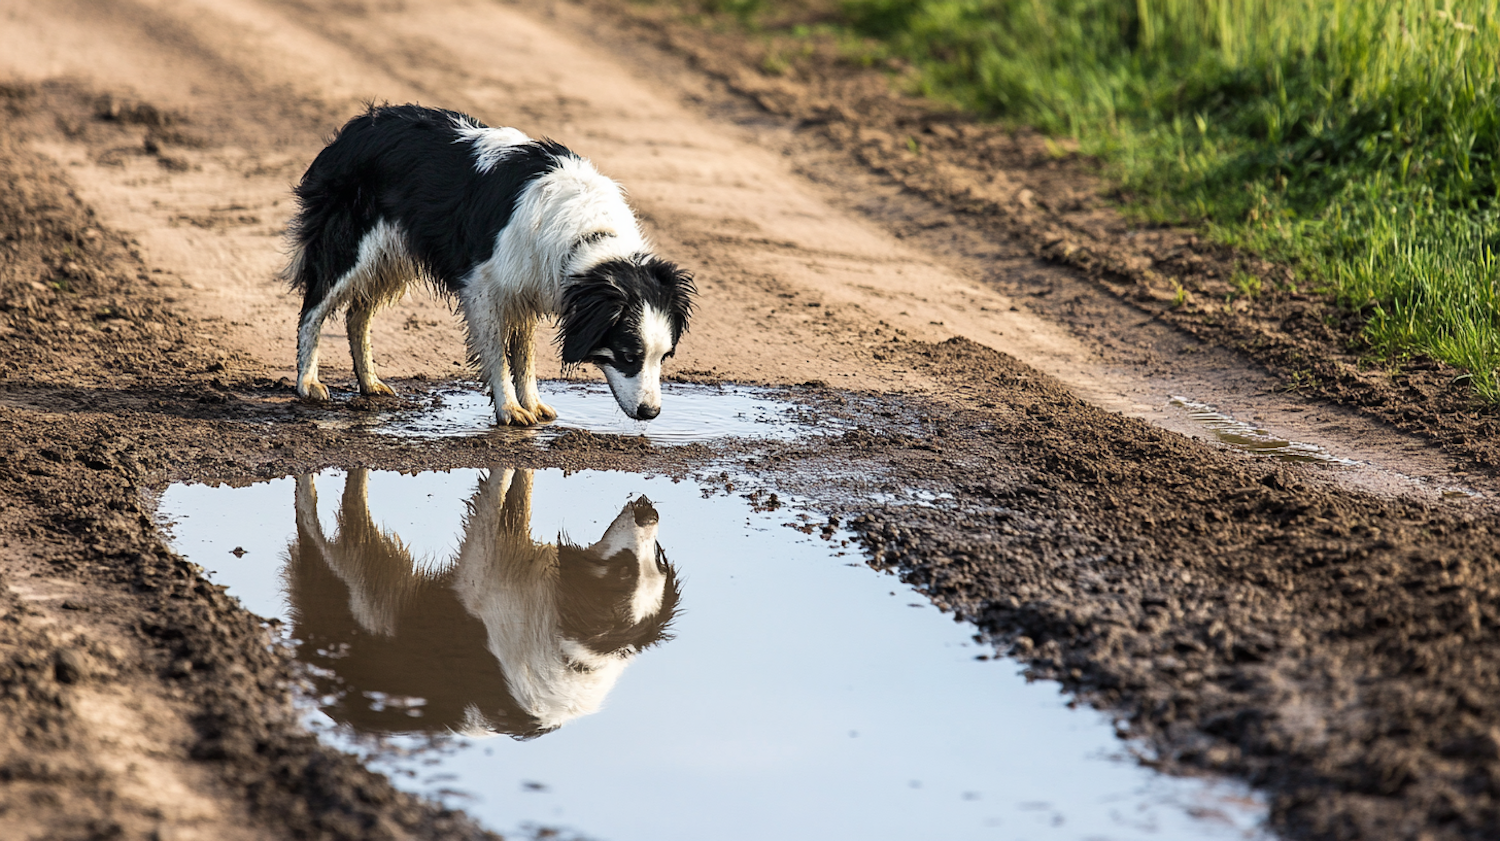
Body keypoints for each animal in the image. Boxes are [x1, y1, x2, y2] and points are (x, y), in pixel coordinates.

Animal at [282, 103, 696, 425]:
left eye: (665, 357)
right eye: (628, 356)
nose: (650, 413)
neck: (590, 237)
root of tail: (355, 127)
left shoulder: (527, 286)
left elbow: (524, 357)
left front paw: (532, 404)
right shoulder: (485, 287)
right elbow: (498, 354)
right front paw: (509, 410)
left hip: (391, 257)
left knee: (358, 314)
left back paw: (369, 382)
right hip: (352, 247)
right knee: (312, 311)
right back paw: (308, 383)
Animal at [285, 464, 681, 734]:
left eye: (658, 560)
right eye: (623, 571)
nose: (649, 512)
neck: (576, 651)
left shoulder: (487, 567)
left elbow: (512, 499)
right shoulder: (487, 565)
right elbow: (509, 492)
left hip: (367, 590)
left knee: (345, 514)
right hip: (359, 587)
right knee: (313, 521)